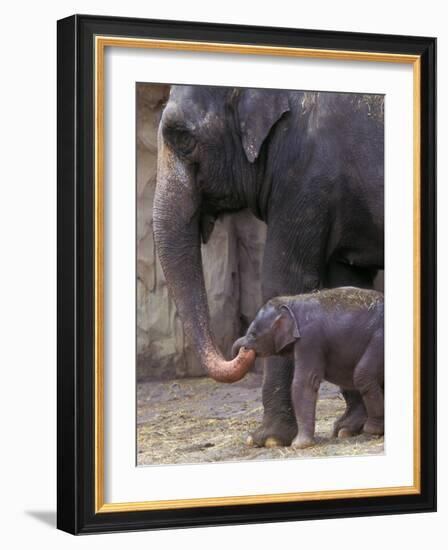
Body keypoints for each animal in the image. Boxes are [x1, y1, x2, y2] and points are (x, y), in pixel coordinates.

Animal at [233, 286, 384, 450]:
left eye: (253, 334)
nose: (242, 350)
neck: (291, 302)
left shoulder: (310, 340)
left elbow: (304, 382)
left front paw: (299, 445)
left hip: (379, 340)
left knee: (363, 375)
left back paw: (371, 430)